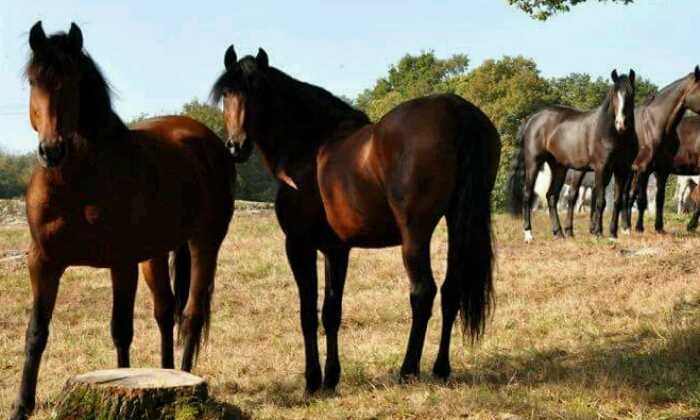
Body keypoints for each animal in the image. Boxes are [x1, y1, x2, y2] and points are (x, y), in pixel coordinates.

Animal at [11, 22, 235, 420]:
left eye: (73, 81)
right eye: (34, 80)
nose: (51, 150)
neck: (75, 179)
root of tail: (205, 138)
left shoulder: (122, 263)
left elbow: (121, 329)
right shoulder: (43, 261)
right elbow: (36, 332)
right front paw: (21, 405)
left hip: (205, 242)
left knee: (191, 314)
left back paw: (186, 381)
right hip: (156, 254)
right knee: (165, 311)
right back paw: (167, 371)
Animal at [210, 46, 500, 392]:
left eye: (259, 92)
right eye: (227, 93)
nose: (235, 147)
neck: (311, 149)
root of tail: (457, 111)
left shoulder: (298, 245)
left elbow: (307, 313)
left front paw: (312, 381)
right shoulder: (336, 250)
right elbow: (331, 311)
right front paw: (331, 378)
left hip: (415, 233)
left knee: (423, 293)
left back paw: (408, 370)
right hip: (457, 222)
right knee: (450, 291)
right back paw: (440, 368)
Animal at [507, 70, 637, 242]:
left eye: (630, 94)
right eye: (614, 95)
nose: (621, 124)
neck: (611, 133)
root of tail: (532, 119)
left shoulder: (621, 169)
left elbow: (616, 201)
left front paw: (613, 235)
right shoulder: (601, 169)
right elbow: (600, 201)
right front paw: (598, 233)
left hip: (558, 167)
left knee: (551, 196)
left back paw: (559, 233)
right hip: (533, 163)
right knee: (528, 194)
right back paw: (528, 234)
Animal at [628, 67, 700, 233]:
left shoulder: (662, 170)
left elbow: (659, 198)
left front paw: (659, 227)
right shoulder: (644, 168)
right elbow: (642, 199)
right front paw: (639, 227)